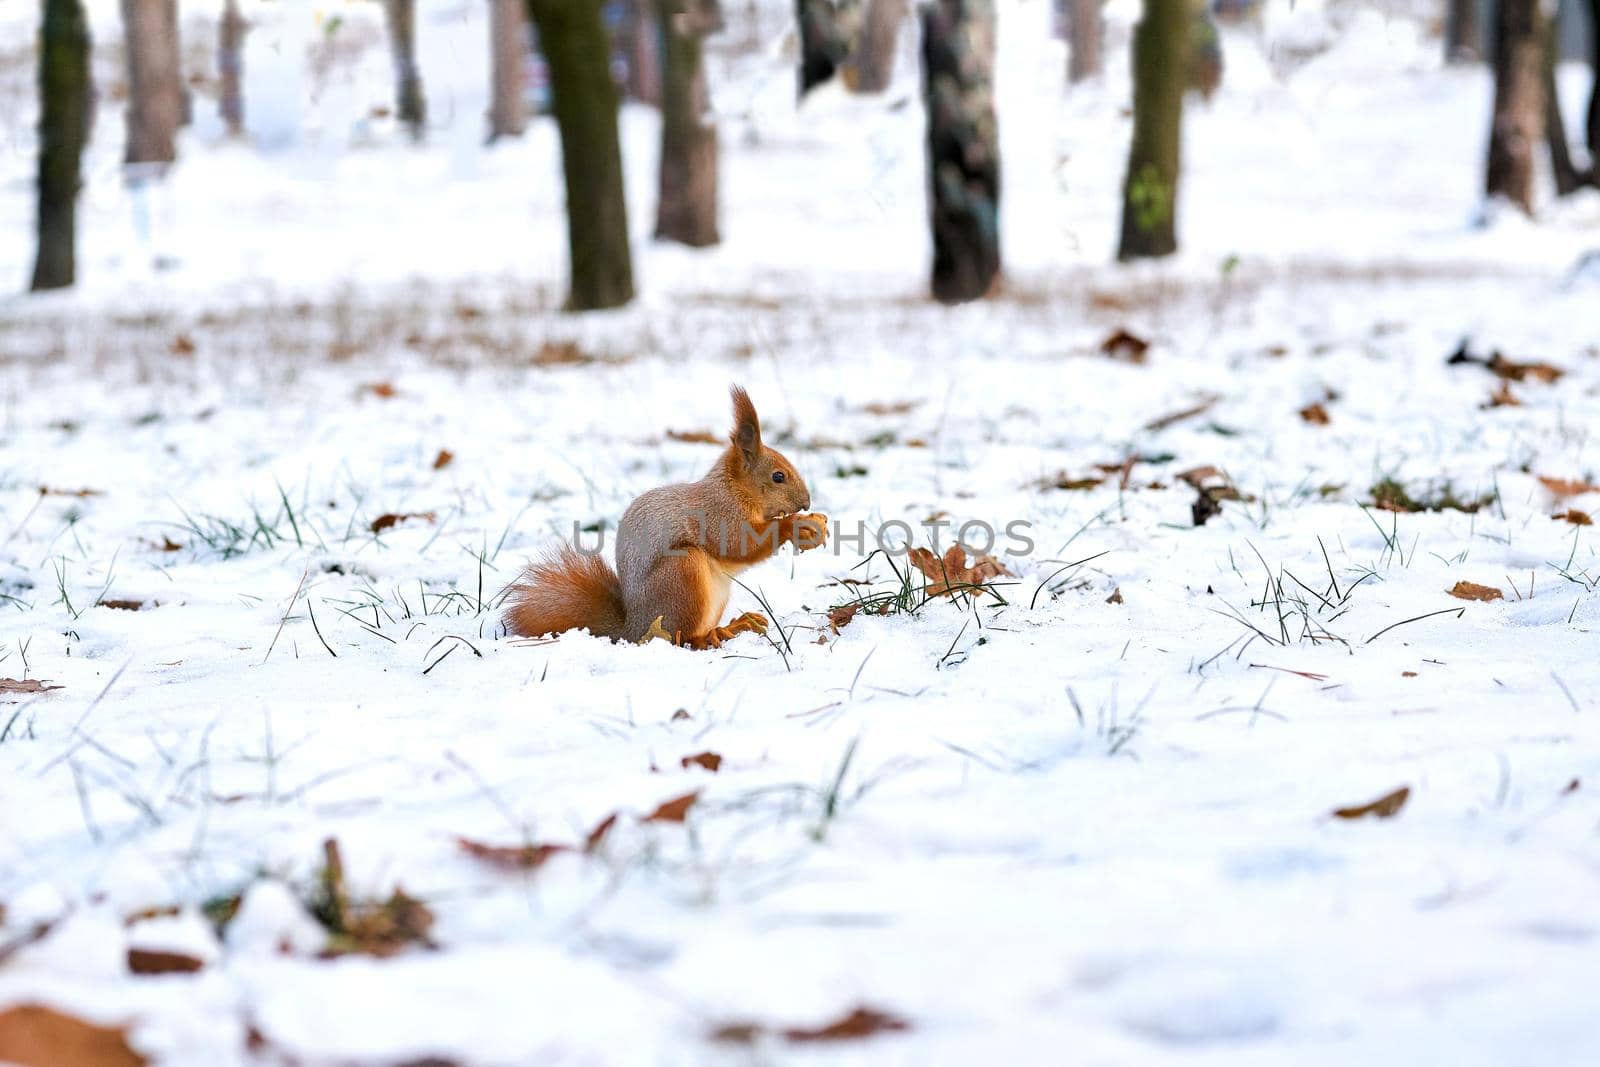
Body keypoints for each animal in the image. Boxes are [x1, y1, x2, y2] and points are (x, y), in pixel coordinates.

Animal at [505, 388, 832, 646]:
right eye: (778, 476)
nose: (806, 502)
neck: (734, 490)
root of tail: (632, 630)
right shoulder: (717, 514)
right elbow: (739, 545)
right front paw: (794, 525)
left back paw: (736, 625)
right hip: (682, 574)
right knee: (684, 637)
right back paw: (714, 636)